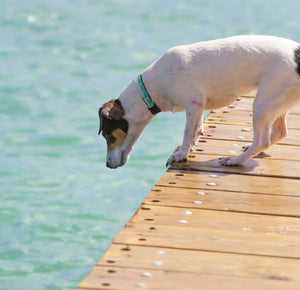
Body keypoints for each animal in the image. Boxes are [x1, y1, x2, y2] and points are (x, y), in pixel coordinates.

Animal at [98, 35, 300, 169]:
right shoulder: (198, 106)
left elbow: (188, 132)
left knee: (263, 140)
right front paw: (190, 144)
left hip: (262, 104)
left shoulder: (193, 102)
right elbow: (196, 129)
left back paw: (237, 159)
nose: (107, 165)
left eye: (108, 136)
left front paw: (181, 154)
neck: (152, 86)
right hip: (276, 102)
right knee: (279, 132)